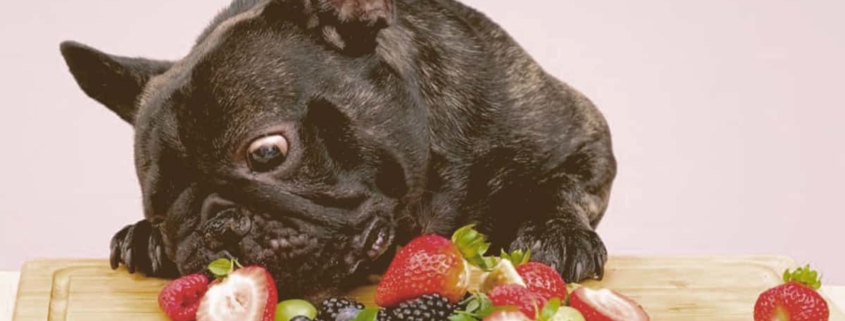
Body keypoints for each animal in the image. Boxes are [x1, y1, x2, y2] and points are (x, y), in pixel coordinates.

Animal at [57, 0, 612, 298]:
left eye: (266, 153)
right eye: (161, 206)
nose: (218, 225)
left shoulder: (583, 135)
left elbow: (564, 184)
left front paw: (559, 232)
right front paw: (144, 236)